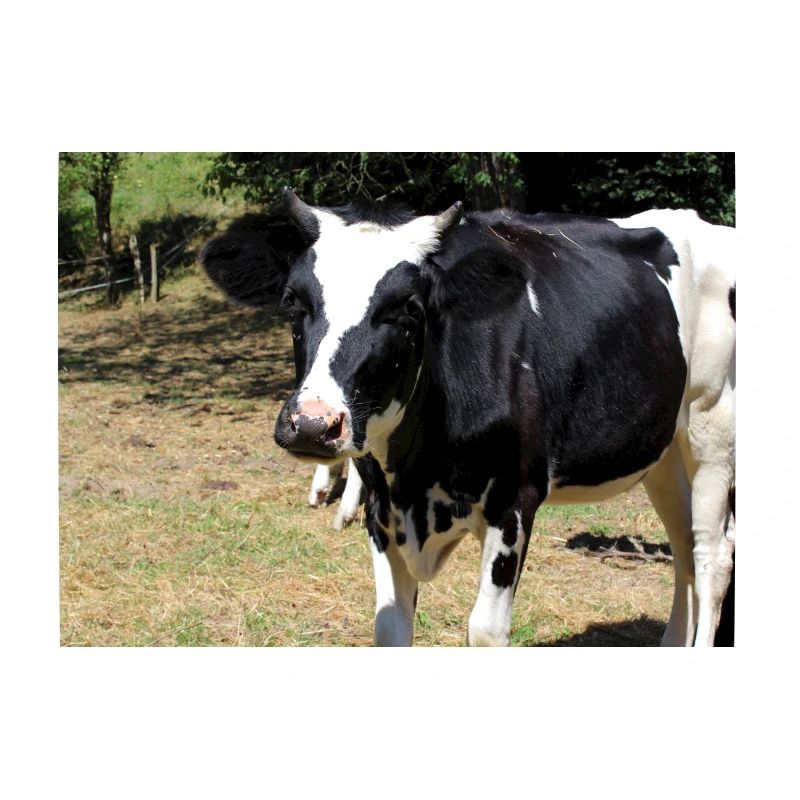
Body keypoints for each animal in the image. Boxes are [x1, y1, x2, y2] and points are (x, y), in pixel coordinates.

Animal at [201, 188, 736, 647]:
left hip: (713, 429)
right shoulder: (381, 507)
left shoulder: (514, 500)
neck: (417, 475)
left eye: (408, 309)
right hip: (663, 448)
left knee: (712, 554)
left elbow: (485, 630)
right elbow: (389, 626)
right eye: (293, 301)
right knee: (684, 546)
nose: (313, 424)